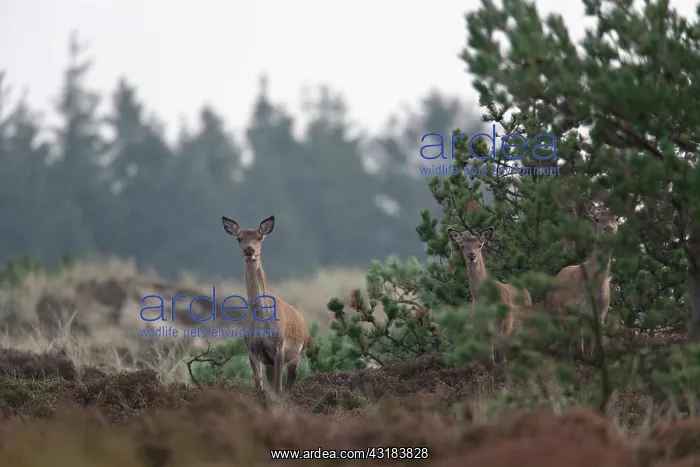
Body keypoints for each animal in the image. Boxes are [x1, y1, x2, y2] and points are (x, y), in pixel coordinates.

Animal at [221, 215, 309, 395]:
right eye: (238, 238)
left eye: (260, 237)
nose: (249, 250)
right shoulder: (252, 348)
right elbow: (259, 385)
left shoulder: (279, 346)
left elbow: (278, 388)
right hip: (270, 363)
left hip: (298, 354)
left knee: (289, 385)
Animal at [447, 226, 533, 363]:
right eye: (462, 245)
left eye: (479, 245)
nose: (471, 255)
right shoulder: (482, 327)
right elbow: (490, 359)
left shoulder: (506, 323)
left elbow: (502, 359)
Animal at [549, 200, 620, 357]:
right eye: (597, 219)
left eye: (617, 219)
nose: (608, 228)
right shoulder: (578, 310)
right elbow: (580, 347)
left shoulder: (601, 314)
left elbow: (594, 347)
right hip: (561, 308)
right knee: (567, 339)